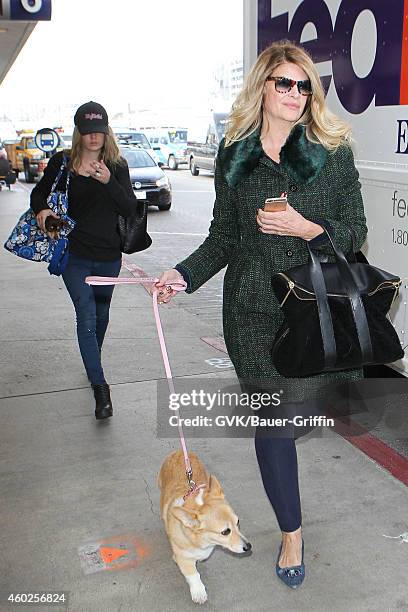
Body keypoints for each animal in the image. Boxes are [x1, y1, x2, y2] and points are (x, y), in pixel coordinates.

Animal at [158, 450, 250, 604]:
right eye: (225, 532)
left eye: (238, 522)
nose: (248, 547)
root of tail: (178, 451)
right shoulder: (182, 558)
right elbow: (193, 574)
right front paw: (199, 592)